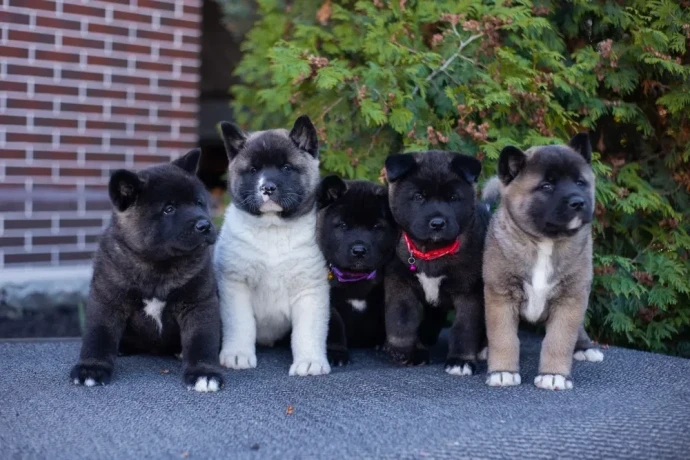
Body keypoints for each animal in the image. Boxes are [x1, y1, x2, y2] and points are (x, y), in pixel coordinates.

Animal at [216, 116, 332, 378]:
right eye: (253, 170)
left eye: (286, 168)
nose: (267, 188)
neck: (273, 230)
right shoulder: (235, 285)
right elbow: (240, 324)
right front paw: (238, 355)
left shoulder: (310, 289)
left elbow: (307, 331)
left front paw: (309, 361)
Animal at [314, 174, 396, 364]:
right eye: (343, 225)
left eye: (376, 227)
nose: (359, 251)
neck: (355, 277)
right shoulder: (327, 300)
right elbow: (334, 325)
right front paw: (336, 352)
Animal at [382, 152, 490, 378]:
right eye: (419, 197)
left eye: (453, 198)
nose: (437, 223)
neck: (431, 251)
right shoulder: (400, 283)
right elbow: (401, 318)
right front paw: (402, 350)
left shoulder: (470, 292)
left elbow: (465, 327)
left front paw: (461, 361)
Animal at [482, 134, 600, 392]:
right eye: (547, 186)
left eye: (580, 182)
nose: (578, 202)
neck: (545, 242)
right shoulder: (500, 296)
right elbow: (503, 338)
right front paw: (503, 372)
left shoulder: (571, 298)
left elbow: (559, 340)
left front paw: (554, 375)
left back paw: (585, 347)